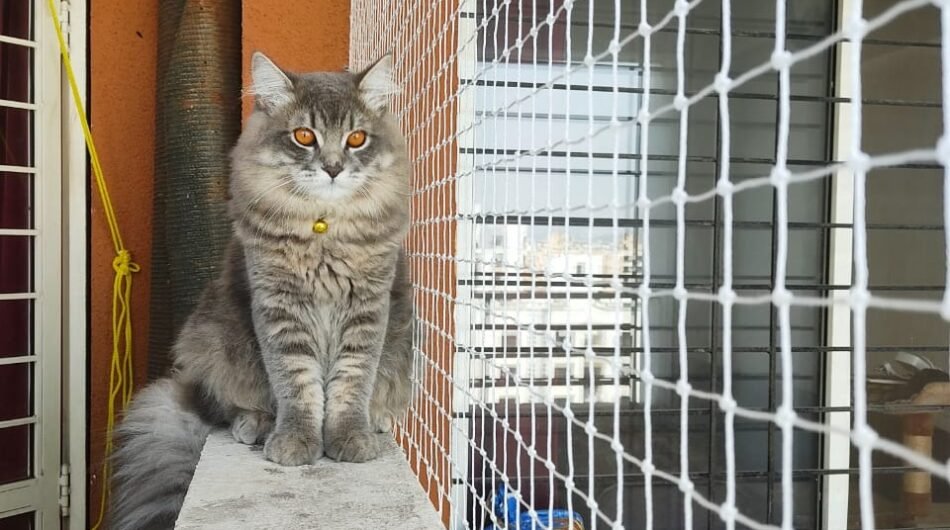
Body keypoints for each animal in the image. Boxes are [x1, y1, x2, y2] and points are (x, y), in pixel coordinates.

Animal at [108, 50, 412, 528]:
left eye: (357, 138)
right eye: (304, 136)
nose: (332, 168)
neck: (323, 228)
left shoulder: (367, 308)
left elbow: (351, 383)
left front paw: (350, 435)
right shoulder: (279, 307)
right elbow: (297, 384)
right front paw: (296, 440)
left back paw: (377, 418)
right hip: (212, 341)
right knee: (235, 403)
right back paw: (255, 424)